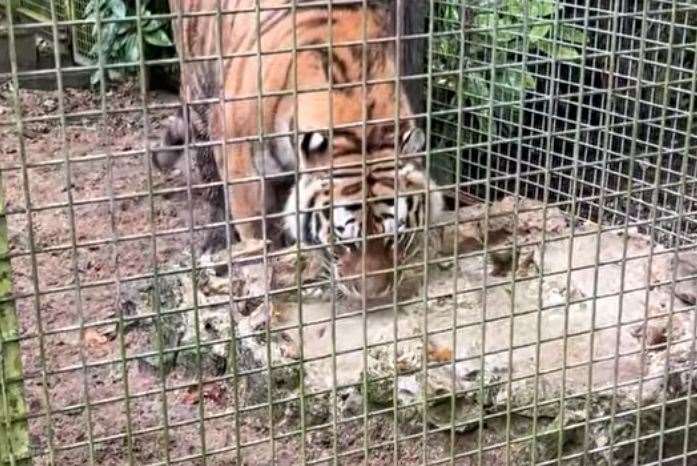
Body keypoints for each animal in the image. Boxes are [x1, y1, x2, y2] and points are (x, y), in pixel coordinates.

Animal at [155, 0, 444, 298]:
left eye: (395, 237)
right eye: (346, 243)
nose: (374, 295)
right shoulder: (243, 172)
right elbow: (256, 236)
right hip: (200, 93)